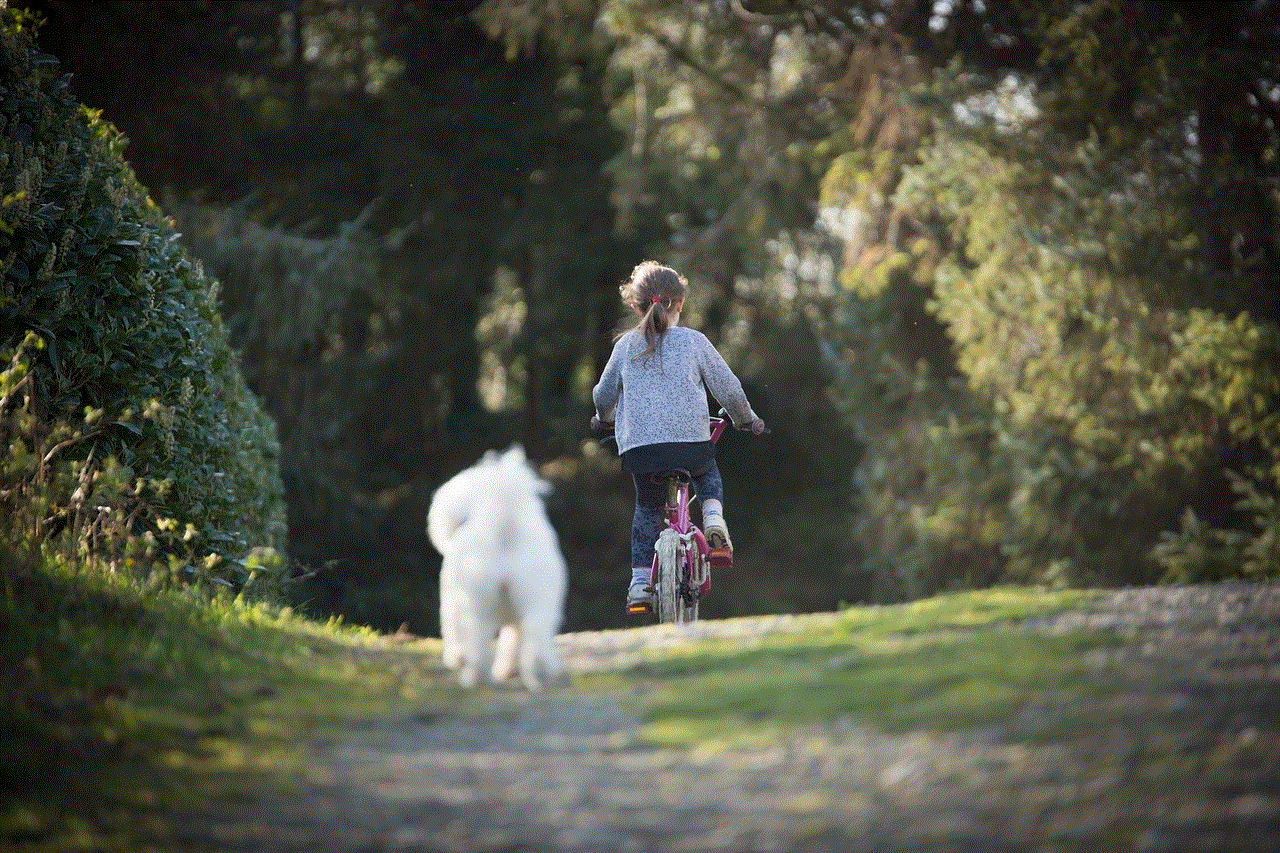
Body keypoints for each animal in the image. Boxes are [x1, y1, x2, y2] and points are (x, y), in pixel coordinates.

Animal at [424, 440, 565, 686]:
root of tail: (504, 526)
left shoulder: (451, 603)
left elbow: (453, 633)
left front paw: (455, 658)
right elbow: (512, 643)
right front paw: (506, 669)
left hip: (477, 603)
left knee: (480, 646)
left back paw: (473, 678)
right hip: (536, 600)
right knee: (534, 641)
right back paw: (538, 676)